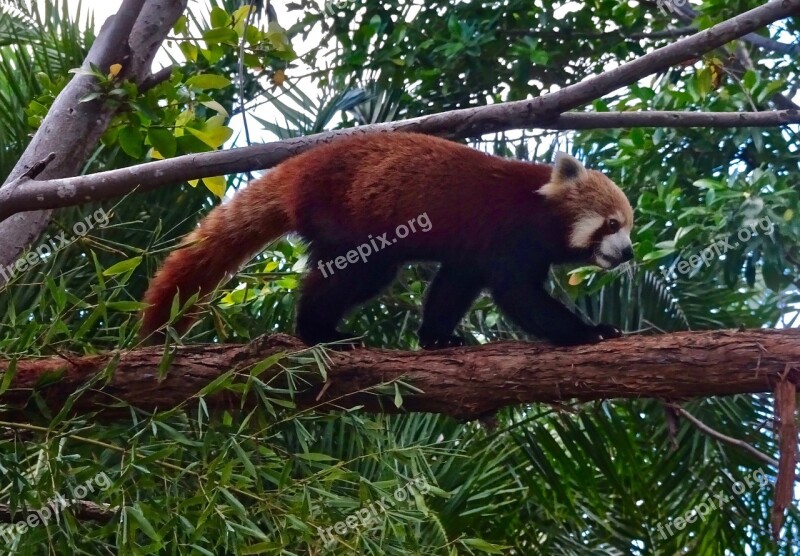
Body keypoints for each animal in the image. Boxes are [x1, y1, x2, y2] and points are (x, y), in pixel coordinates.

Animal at [141, 131, 636, 348]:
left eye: (629, 227)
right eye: (613, 224)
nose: (629, 252)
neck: (541, 209)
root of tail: (297, 168)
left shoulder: (475, 250)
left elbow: (453, 286)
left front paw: (437, 338)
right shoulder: (508, 233)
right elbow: (520, 296)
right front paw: (589, 332)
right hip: (345, 213)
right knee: (354, 275)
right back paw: (318, 332)